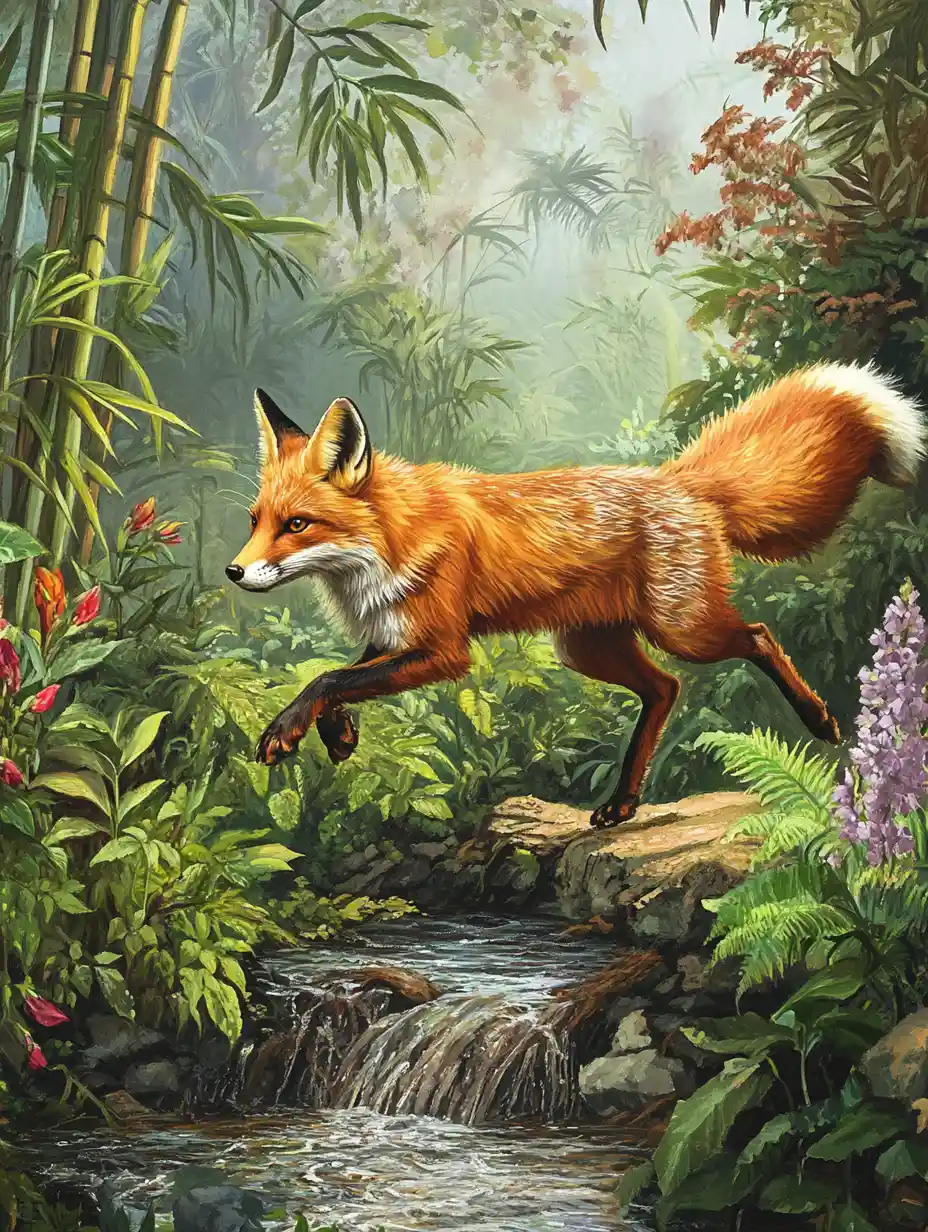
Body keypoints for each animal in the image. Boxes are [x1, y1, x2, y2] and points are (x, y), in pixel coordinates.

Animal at [226, 361, 925, 829]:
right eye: (255, 521)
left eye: (297, 525)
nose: (233, 573)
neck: (389, 541)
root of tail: (679, 482)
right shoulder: (394, 634)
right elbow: (338, 678)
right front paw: (335, 735)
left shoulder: (445, 650)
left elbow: (329, 679)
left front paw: (287, 731)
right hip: (588, 649)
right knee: (665, 689)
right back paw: (622, 803)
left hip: (684, 630)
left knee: (753, 637)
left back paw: (819, 719)